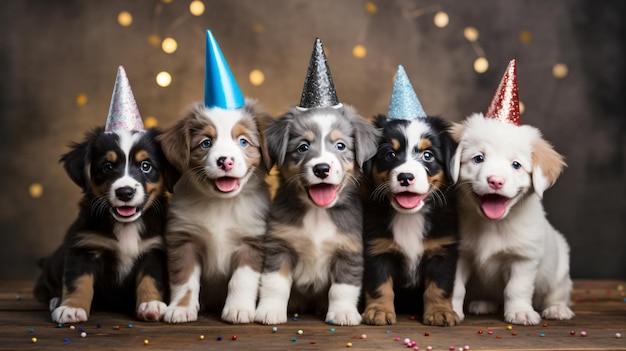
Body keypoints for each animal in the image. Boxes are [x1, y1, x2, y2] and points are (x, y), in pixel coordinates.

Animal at [33, 126, 176, 324]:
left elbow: (151, 279)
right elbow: (78, 281)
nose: (125, 192)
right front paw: (71, 308)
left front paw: (151, 305)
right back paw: (55, 300)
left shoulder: (154, 250)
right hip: (54, 264)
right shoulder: (83, 247)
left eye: (146, 166)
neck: (126, 226)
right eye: (107, 167)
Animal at [157, 99, 270, 324]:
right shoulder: (184, 240)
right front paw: (181, 308)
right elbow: (185, 280)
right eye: (206, 143)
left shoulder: (252, 242)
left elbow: (241, 280)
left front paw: (238, 309)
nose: (225, 161)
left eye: (243, 142)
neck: (221, 205)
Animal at [252, 105, 376, 328]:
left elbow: (342, 288)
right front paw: (270, 310)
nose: (322, 168)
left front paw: (343, 313)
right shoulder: (279, 247)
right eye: (303, 147)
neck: (318, 213)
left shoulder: (349, 251)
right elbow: (275, 283)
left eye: (341, 146)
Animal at [360, 115, 458, 328]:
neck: (409, 217)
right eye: (390, 154)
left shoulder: (442, 250)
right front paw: (379, 311)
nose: (405, 177)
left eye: (428, 155)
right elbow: (379, 285)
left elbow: (439, 286)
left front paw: (440, 312)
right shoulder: (377, 249)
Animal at [446, 60, 572, 328]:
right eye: (478, 158)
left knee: (557, 293)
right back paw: (484, 303)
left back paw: (557, 309)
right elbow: (455, 288)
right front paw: (449, 309)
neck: (492, 225)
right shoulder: (458, 254)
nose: (495, 181)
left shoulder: (524, 258)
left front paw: (520, 312)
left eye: (516, 165)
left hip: (560, 271)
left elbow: (516, 288)